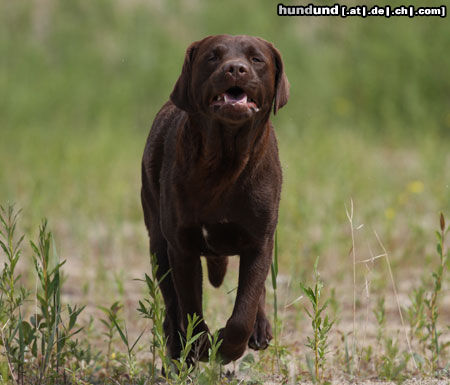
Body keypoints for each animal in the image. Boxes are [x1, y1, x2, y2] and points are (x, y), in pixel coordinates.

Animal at [141, 33, 288, 364]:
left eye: (256, 59)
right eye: (212, 57)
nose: (235, 69)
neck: (225, 163)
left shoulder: (259, 242)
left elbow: (244, 308)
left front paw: (228, 346)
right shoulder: (182, 246)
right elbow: (190, 306)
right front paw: (199, 344)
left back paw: (259, 329)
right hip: (158, 243)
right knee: (172, 305)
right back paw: (177, 346)